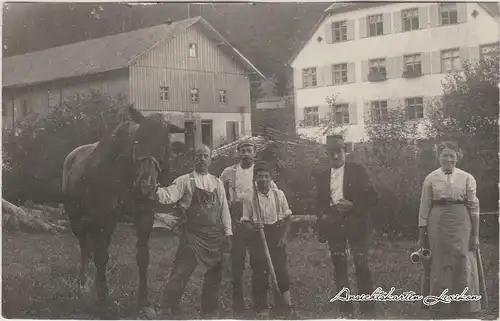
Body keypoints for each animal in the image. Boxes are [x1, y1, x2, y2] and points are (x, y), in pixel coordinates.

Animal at [62, 106, 184, 316]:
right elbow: (101, 256)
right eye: (138, 140)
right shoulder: (103, 216)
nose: (146, 185)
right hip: (76, 218)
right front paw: (102, 298)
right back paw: (83, 282)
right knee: (85, 247)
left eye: (163, 145)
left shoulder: (144, 216)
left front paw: (143, 301)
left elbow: (142, 257)